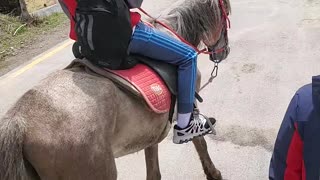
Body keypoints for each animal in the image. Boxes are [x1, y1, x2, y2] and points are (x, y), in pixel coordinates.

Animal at [0, 0, 230, 179]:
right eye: (226, 12)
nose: (224, 52)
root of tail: (19, 120)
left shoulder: (151, 130)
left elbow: (153, 171)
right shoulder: (190, 101)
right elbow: (200, 142)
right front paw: (214, 173)